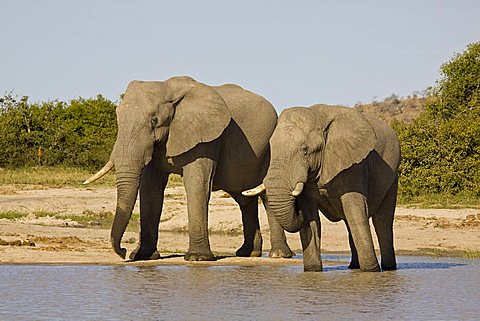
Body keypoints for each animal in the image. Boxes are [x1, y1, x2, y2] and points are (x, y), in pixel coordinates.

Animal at [85, 77, 294, 260]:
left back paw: (278, 255)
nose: (123, 251)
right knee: (244, 198)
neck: (168, 90)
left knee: (267, 196)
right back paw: (247, 253)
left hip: (270, 151)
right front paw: (143, 256)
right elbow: (151, 189)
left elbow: (197, 184)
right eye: (118, 118)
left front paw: (198, 258)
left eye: (154, 120)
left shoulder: (206, 137)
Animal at [244, 104, 402, 272]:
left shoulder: (355, 166)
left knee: (382, 221)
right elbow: (311, 218)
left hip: (392, 177)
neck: (318, 117)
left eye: (304, 149)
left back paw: (388, 268)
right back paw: (353, 267)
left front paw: (371, 271)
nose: (297, 209)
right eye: (270, 149)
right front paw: (312, 271)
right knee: (350, 223)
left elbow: (355, 212)